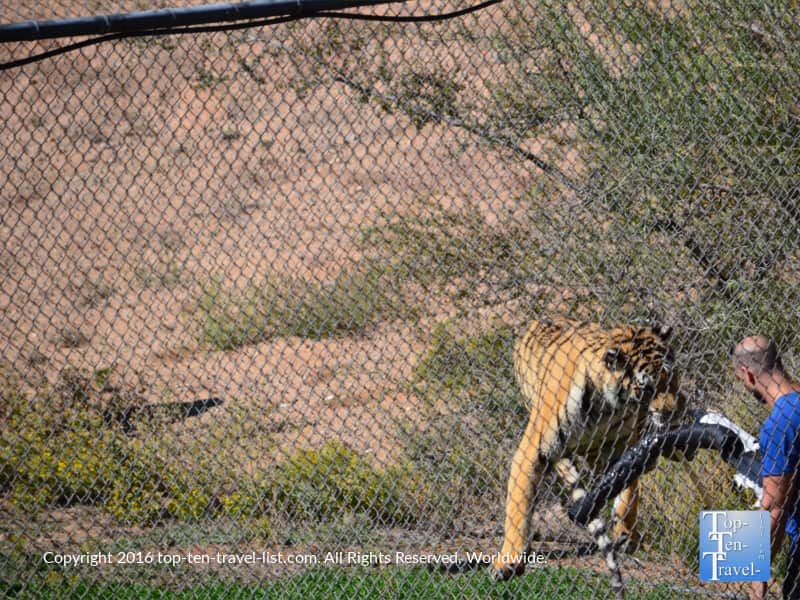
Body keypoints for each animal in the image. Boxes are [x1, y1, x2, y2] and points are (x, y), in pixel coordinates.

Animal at [492, 319, 687, 590]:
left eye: (671, 377)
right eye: (647, 388)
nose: (673, 412)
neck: (608, 406)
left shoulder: (623, 447)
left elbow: (629, 491)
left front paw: (625, 532)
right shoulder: (532, 451)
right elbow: (517, 506)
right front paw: (508, 561)